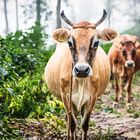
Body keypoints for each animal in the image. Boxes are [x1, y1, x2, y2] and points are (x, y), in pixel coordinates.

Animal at [44, 10, 117, 140]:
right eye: (70, 42)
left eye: (96, 43)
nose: (82, 70)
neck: (81, 81)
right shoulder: (66, 97)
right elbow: (72, 124)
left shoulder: (92, 97)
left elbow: (84, 124)